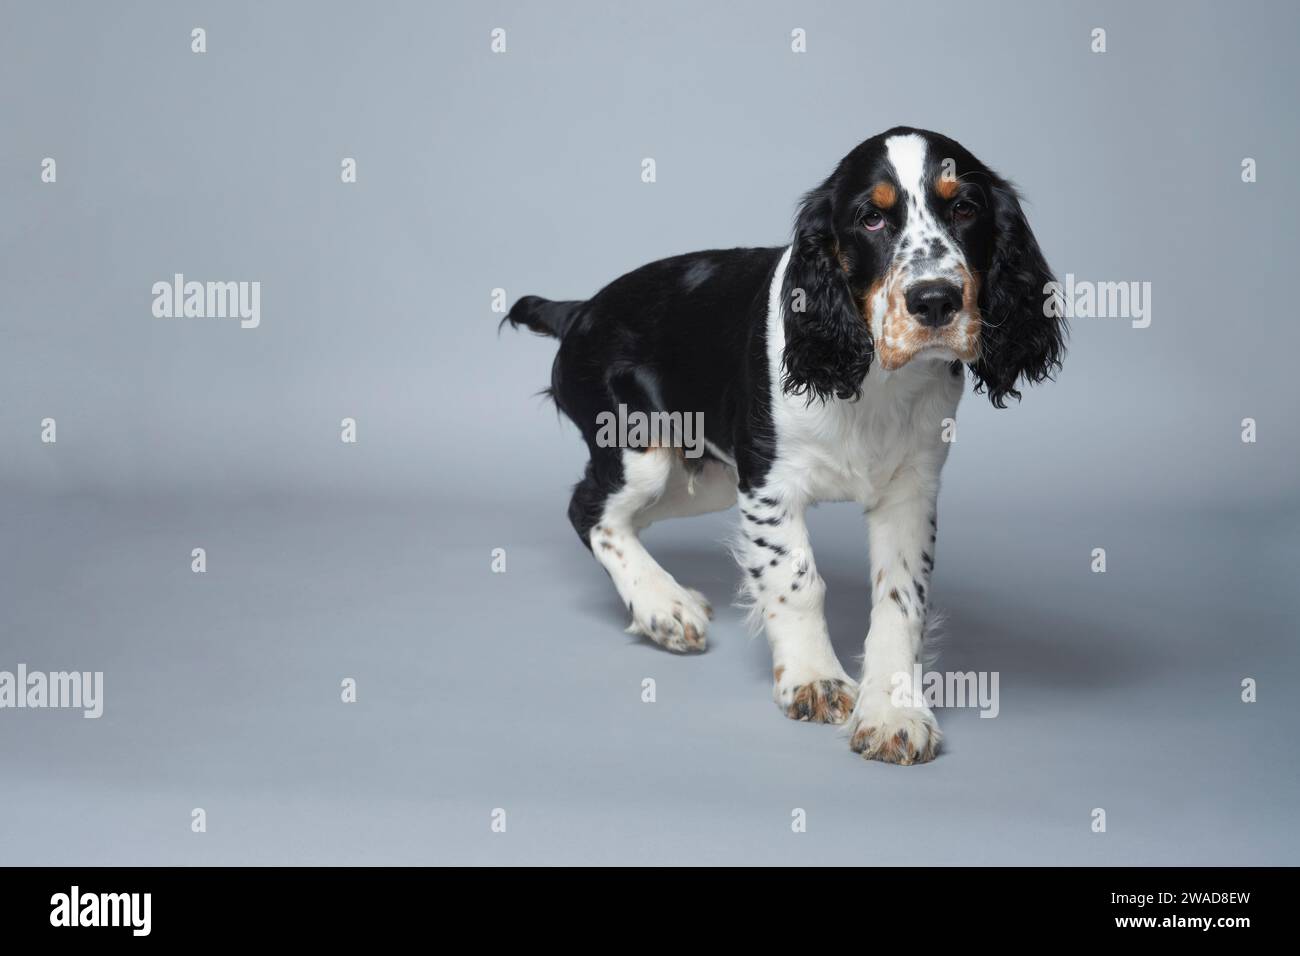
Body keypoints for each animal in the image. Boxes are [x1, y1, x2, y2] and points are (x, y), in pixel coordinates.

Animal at [501, 127, 1060, 764]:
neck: (870, 377)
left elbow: (900, 599)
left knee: (625, 516)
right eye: (871, 218)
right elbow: (797, 581)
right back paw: (664, 607)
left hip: (708, 481)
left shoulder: (910, 491)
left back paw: (668, 596)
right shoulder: (769, 485)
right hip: (642, 449)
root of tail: (579, 311)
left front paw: (893, 712)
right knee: (590, 510)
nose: (935, 299)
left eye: (965, 207)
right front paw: (815, 680)